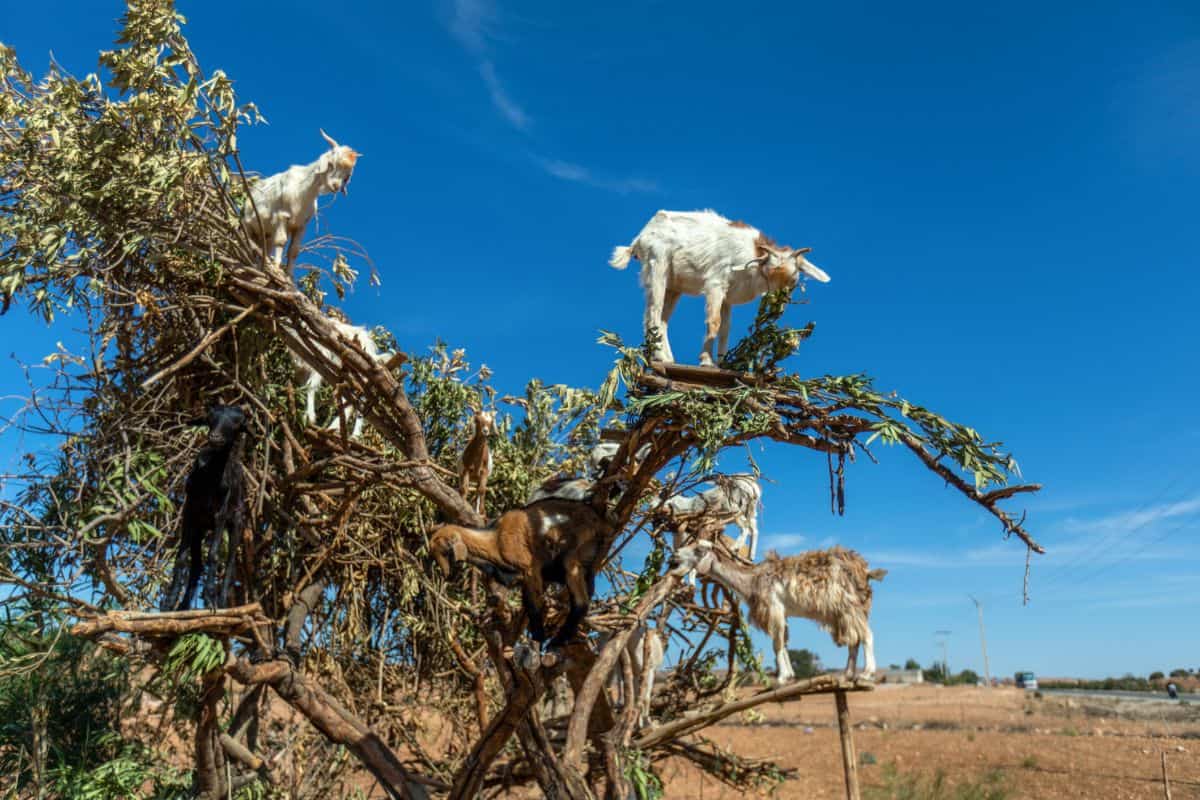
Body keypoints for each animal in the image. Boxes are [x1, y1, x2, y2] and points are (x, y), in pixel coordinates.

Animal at [162, 405, 249, 611]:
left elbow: (214, 555)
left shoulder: (220, 514)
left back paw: (222, 602)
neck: (210, 476)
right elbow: (181, 558)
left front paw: (210, 599)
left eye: (237, 424)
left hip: (237, 522)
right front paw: (169, 602)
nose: (215, 437)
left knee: (230, 564)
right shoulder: (190, 512)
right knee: (196, 566)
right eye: (210, 419)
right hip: (200, 528)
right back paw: (183, 605)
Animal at [242, 130, 360, 273]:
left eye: (347, 174)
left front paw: (289, 275)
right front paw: (276, 268)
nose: (335, 186)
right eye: (331, 164)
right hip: (247, 226)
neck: (303, 190)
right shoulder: (282, 216)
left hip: (266, 234)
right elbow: (281, 241)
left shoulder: (302, 225)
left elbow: (294, 251)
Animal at [429, 498, 608, 647]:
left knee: (581, 601)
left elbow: (532, 603)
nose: (446, 574)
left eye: (444, 551)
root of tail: (598, 521)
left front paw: (538, 638)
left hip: (572, 553)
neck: (495, 539)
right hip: (588, 556)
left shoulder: (529, 567)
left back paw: (554, 642)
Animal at [609, 210, 830, 366]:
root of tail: (640, 237)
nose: (778, 304)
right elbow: (714, 322)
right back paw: (659, 357)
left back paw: (667, 358)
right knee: (653, 313)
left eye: (794, 278)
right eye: (768, 272)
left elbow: (725, 328)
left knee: (661, 320)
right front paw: (706, 361)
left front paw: (722, 362)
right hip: (658, 265)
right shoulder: (716, 284)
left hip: (674, 285)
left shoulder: (728, 297)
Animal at [668, 541, 886, 681]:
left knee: (866, 635)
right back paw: (848, 674)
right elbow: (785, 642)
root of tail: (865, 571)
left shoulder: (774, 608)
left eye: (698, 549)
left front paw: (781, 677)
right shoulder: (783, 613)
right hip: (843, 613)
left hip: (849, 606)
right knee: (854, 640)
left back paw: (866, 673)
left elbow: (777, 643)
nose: (674, 555)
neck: (752, 580)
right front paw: (789, 675)